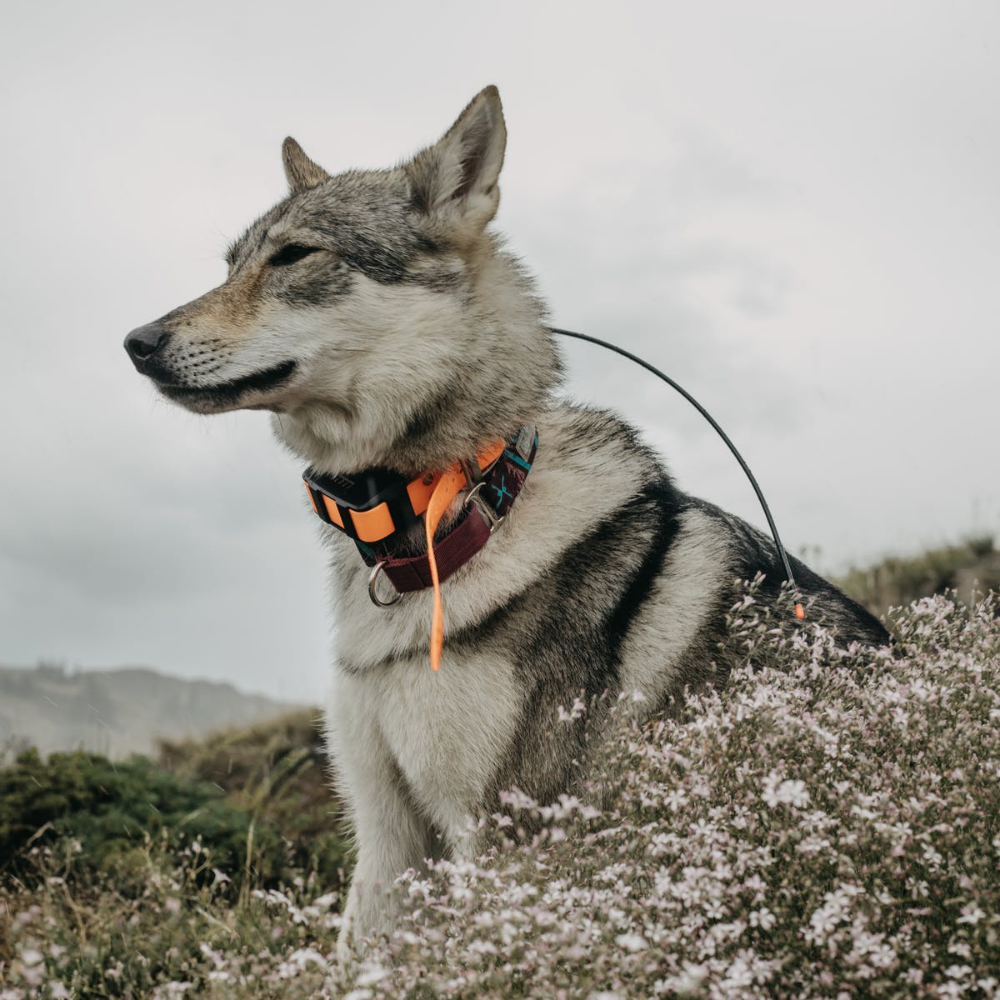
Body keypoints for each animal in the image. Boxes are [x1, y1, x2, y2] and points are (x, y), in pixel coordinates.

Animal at [123, 86, 884, 952]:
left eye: (294, 257)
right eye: (231, 264)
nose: (137, 342)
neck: (457, 509)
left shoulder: (504, 840)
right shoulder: (387, 840)